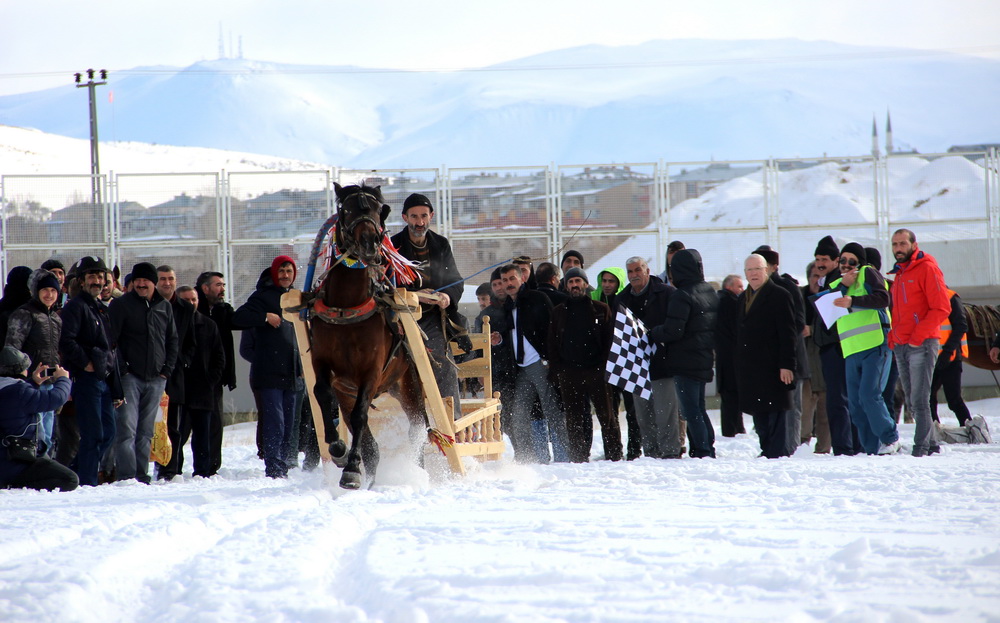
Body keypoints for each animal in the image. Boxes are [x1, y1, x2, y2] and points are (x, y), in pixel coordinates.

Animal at [308, 183, 426, 490]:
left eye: (377, 210)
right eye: (346, 209)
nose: (369, 242)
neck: (347, 306)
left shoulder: (372, 371)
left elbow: (361, 414)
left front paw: (351, 470)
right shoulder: (323, 363)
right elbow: (322, 393)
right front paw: (338, 449)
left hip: (408, 384)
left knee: (418, 427)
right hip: (348, 390)